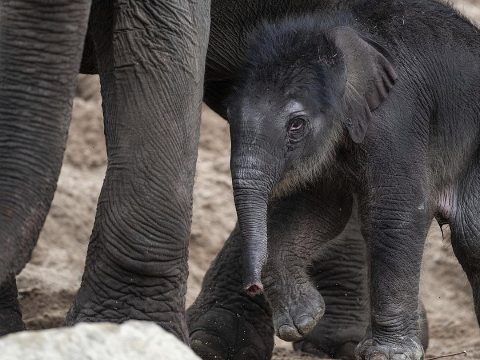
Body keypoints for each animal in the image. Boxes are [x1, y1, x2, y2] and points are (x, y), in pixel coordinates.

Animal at [227, 4, 480, 360]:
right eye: (229, 115)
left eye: (296, 125)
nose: (252, 287)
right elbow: (322, 208)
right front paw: (303, 319)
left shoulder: (397, 117)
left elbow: (398, 210)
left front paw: (388, 354)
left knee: (472, 234)